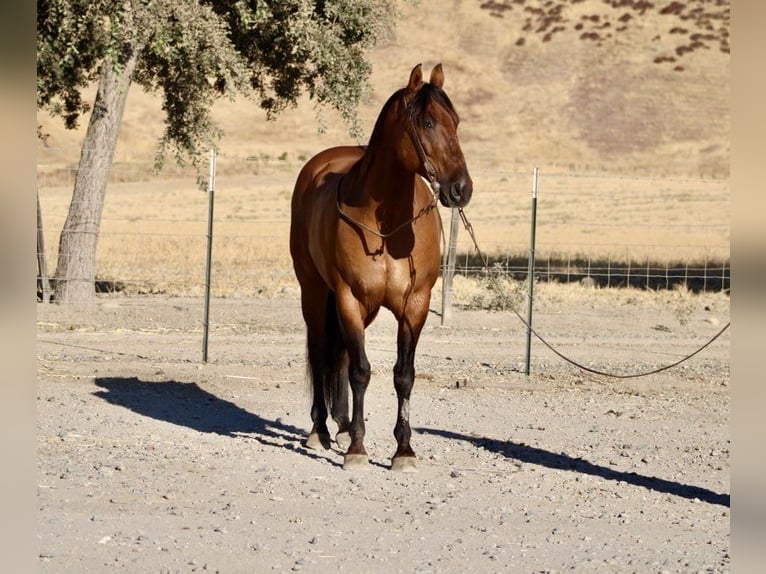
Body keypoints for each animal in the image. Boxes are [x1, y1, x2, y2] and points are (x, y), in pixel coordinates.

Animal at [290, 65, 474, 474]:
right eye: (427, 121)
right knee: (322, 351)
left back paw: (342, 425)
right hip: (315, 292)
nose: (461, 189)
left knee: (340, 354)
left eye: (456, 121)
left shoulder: (415, 305)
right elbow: (361, 371)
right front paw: (358, 449)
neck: (387, 226)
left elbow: (403, 375)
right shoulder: (349, 299)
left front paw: (403, 450)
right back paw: (321, 429)